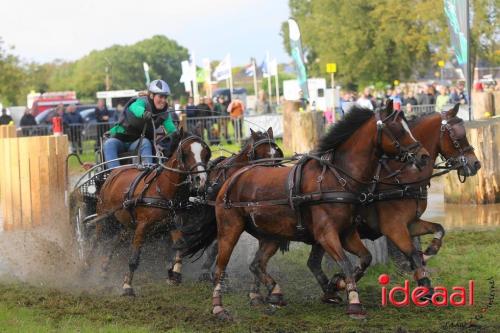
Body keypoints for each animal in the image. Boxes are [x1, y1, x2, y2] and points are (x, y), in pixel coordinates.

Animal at [91, 128, 210, 294]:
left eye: (206, 153)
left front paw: (175, 275)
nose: (201, 180)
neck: (163, 189)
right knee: (95, 241)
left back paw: (103, 270)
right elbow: (134, 258)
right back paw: (84, 270)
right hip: (103, 219)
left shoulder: (173, 225)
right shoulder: (142, 226)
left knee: (115, 242)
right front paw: (127, 286)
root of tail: (112, 173)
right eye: (185, 153)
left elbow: (180, 247)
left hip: (124, 224)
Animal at [183, 102, 430, 320]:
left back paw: (273, 292)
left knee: (256, 264)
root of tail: (234, 176)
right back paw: (219, 308)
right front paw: (354, 303)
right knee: (220, 267)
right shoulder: (326, 234)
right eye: (400, 129)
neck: (336, 178)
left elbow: (364, 259)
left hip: (271, 235)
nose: (424, 156)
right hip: (230, 229)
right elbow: (346, 263)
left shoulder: (347, 232)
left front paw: (337, 284)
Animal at [304, 103, 480, 300]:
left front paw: (429, 252)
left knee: (313, 263)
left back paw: (330, 289)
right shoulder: (394, 226)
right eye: (458, 135)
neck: (403, 176)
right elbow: (412, 253)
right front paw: (425, 286)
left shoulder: (410, 223)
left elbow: (439, 230)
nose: (475, 164)